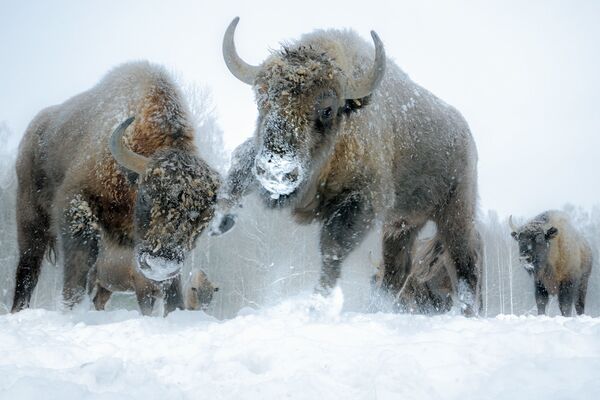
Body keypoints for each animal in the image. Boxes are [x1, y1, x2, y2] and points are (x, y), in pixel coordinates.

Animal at [12, 61, 219, 314]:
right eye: (146, 196)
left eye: (204, 217)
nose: (160, 265)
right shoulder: (76, 201)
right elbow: (80, 264)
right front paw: (71, 310)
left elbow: (173, 288)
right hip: (30, 220)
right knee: (28, 267)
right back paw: (18, 309)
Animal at [216, 18, 482, 316]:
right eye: (262, 99)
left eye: (327, 109)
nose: (277, 172)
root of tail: (466, 135)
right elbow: (241, 163)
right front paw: (221, 219)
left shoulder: (364, 201)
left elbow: (333, 247)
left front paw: (318, 304)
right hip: (402, 225)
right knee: (396, 271)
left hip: (455, 212)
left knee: (463, 261)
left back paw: (467, 312)